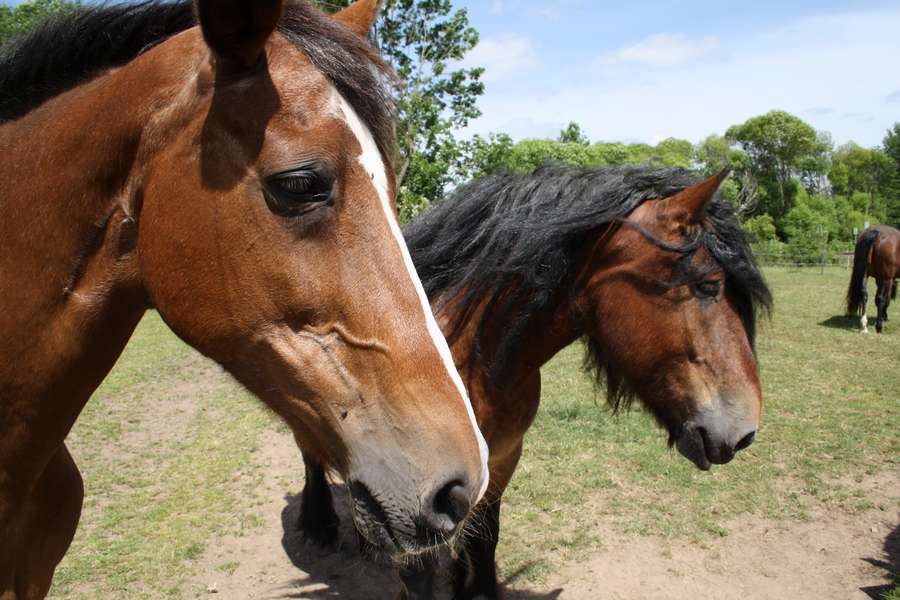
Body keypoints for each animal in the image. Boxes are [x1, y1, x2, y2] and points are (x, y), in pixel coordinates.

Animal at [300, 165, 772, 600]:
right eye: (707, 285)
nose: (745, 432)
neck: (471, 363)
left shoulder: (502, 460)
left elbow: (485, 537)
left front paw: (476, 589)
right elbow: (421, 573)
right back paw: (318, 524)